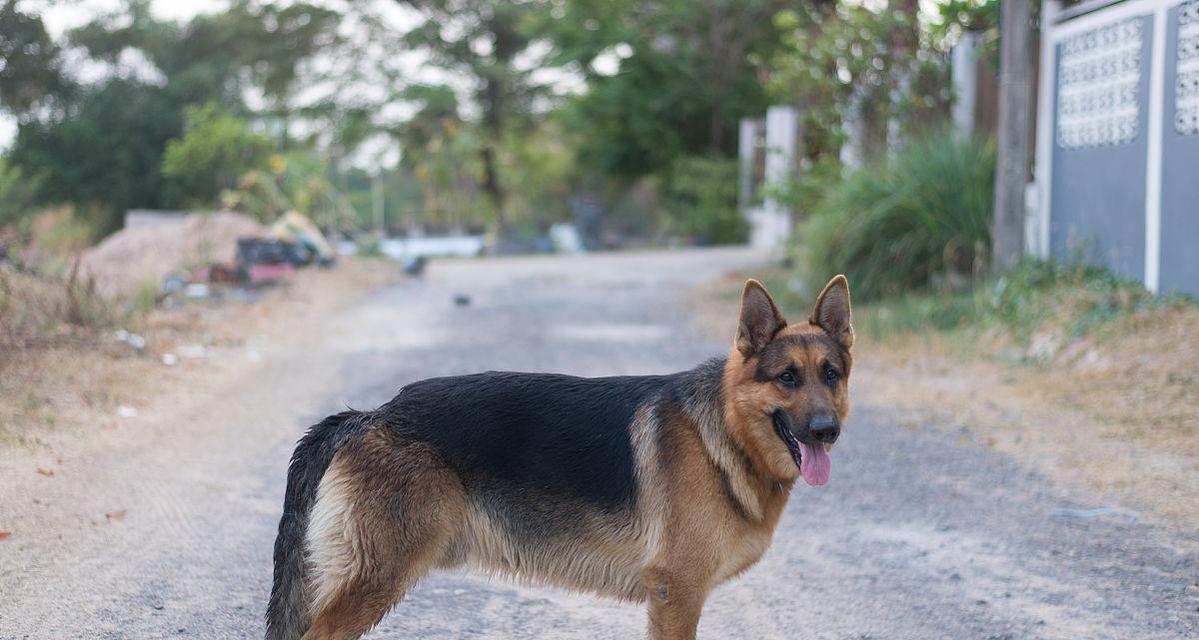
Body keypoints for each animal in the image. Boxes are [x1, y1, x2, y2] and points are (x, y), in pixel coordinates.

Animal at [268, 276, 858, 640]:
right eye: (788, 378)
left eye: (831, 375)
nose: (826, 431)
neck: (725, 435)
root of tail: (373, 413)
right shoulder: (677, 594)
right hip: (378, 578)